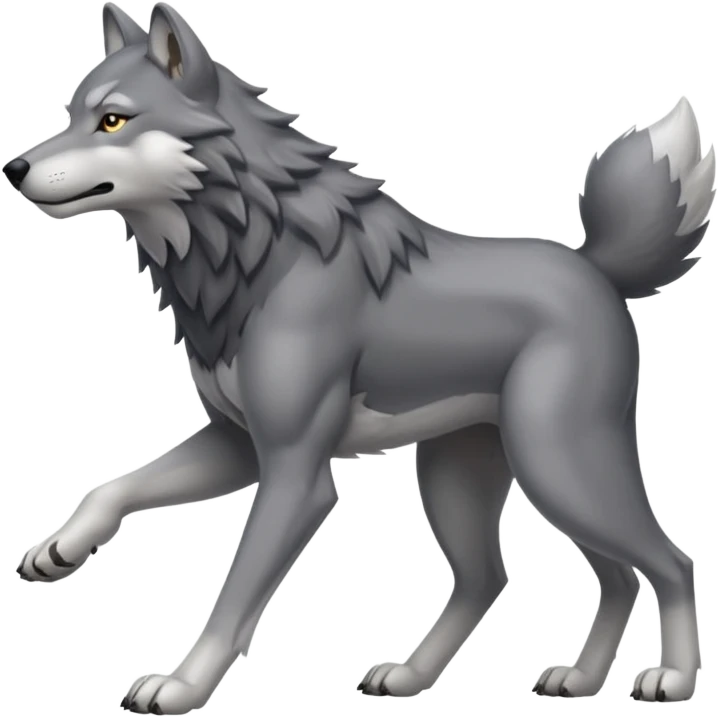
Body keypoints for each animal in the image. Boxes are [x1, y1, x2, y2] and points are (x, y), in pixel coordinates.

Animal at [5, 1, 713, 713]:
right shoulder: (237, 446)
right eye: (70, 114)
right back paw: (511, 678)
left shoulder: (296, 474)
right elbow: (114, 486)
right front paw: (58, 549)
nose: (14, 169)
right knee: (524, 577)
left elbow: (233, 600)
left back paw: (672, 680)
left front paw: (182, 685)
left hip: (559, 465)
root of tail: (595, 268)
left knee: (669, 562)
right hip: (471, 474)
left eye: (113, 120)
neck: (253, 254)